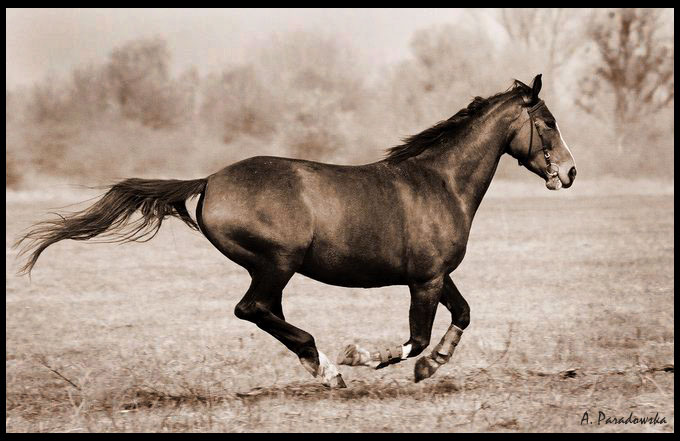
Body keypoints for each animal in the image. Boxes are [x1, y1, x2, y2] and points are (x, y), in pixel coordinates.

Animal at [15, 74, 572, 386]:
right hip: (275, 263)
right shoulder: (425, 280)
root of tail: (210, 181)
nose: (568, 172)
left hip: (274, 269)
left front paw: (430, 368)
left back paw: (316, 364)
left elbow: (462, 315)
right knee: (252, 309)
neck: (440, 182)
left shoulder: (436, 275)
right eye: (547, 122)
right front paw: (361, 356)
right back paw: (327, 368)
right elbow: (414, 338)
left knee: (267, 313)